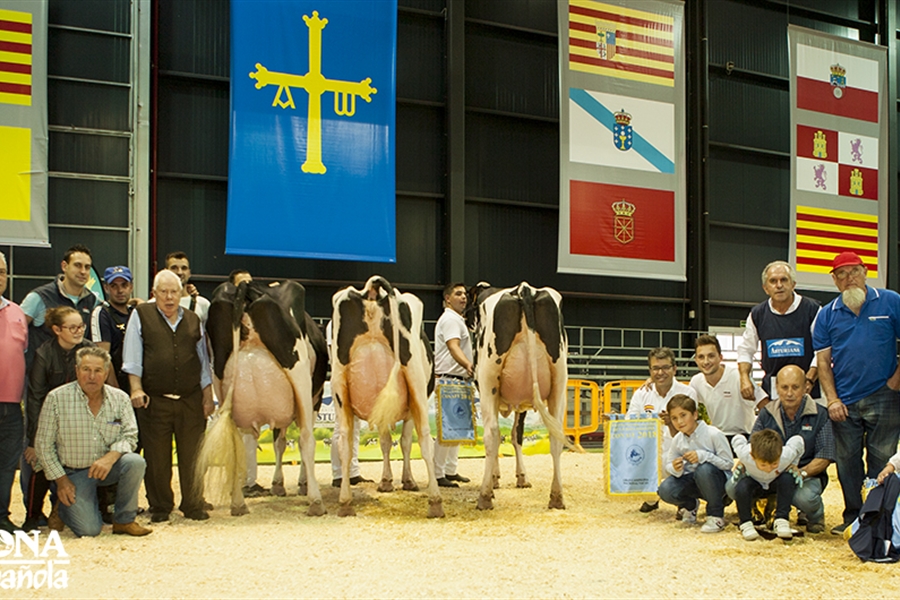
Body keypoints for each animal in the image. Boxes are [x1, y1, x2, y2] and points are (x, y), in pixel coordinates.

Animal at [195, 280, 328, 516]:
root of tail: (245, 286)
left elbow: (279, 442)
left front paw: (278, 484)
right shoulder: (314, 398)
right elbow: (290, 441)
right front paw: (300, 483)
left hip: (221, 382)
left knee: (236, 443)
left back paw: (238, 503)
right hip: (300, 376)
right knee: (306, 438)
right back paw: (316, 501)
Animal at [330, 276, 442, 516]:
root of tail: (371, 290)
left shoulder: (380, 408)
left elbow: (385, 441)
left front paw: (387, 481)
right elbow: (405, 442)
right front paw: (406, 481)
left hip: (339, 386)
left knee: (344, 443)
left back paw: (345, 502)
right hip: (416, 382)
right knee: (425, 439)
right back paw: (435, 501)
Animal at [464, 282, 568, 510]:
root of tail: (524, 289)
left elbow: (502, 437)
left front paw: (494, 479)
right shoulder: (523, 403)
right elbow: (516, 435)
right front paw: (521, 477)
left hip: (488, 381)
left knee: (491, 433)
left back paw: (484, 497)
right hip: (559, 381)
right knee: (556, 436)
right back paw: (556, 497)